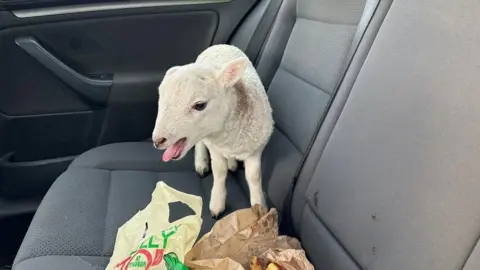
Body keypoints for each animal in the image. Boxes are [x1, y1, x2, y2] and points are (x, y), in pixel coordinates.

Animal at [153, 44, 274, 217]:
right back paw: (201, 162)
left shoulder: (255, 149)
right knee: (200, 143)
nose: (158, 140)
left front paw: (259, 207)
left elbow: (254, 177)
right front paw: (217, 204)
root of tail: (220, 45)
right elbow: (219, 172)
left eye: (200, 105)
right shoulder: (215, 148)